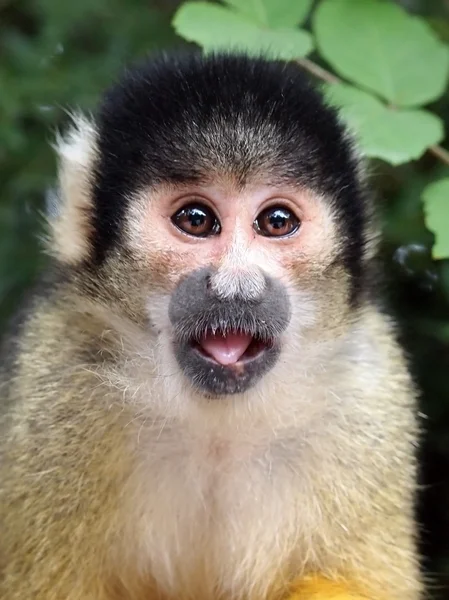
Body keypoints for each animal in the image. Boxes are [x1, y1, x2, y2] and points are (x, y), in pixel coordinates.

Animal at [0, 52, 420, 600]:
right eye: (195, 219)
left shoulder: (370, 396)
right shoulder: (52, 386)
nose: (236, 287)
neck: (216, 422)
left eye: (276, 221)